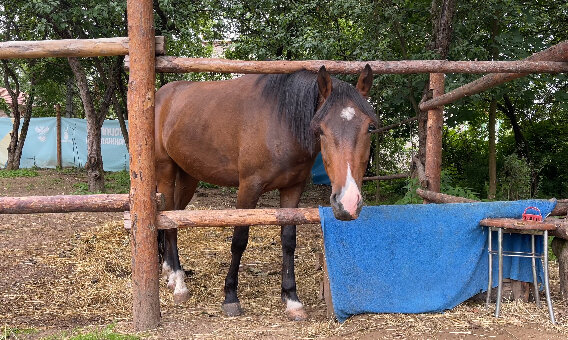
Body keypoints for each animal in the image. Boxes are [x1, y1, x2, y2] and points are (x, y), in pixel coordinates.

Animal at [154, 65, 378, 320]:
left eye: (370, 127)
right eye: (320, 129)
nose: (347, 202)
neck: (281, 123)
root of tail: (161, 95)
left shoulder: (292, 189)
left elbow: (288, 240)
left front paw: (292, 299)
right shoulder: (248, 188)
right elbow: (239, 240)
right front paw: (230, 297)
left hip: (188, 176)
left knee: (175, 216)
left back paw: (171, 272)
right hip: (165, 170)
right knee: (170, 221)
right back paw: (178, 283)